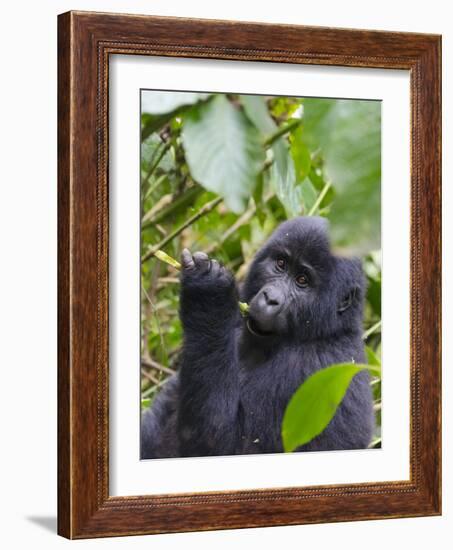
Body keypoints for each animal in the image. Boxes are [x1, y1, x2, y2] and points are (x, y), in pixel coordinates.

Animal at [141, 218, 374, 460]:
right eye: (281, 264)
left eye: (302, 280)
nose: (270, 298)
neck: (328, 330)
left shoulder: (312, 367)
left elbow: (221, 445)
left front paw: (207, 294)